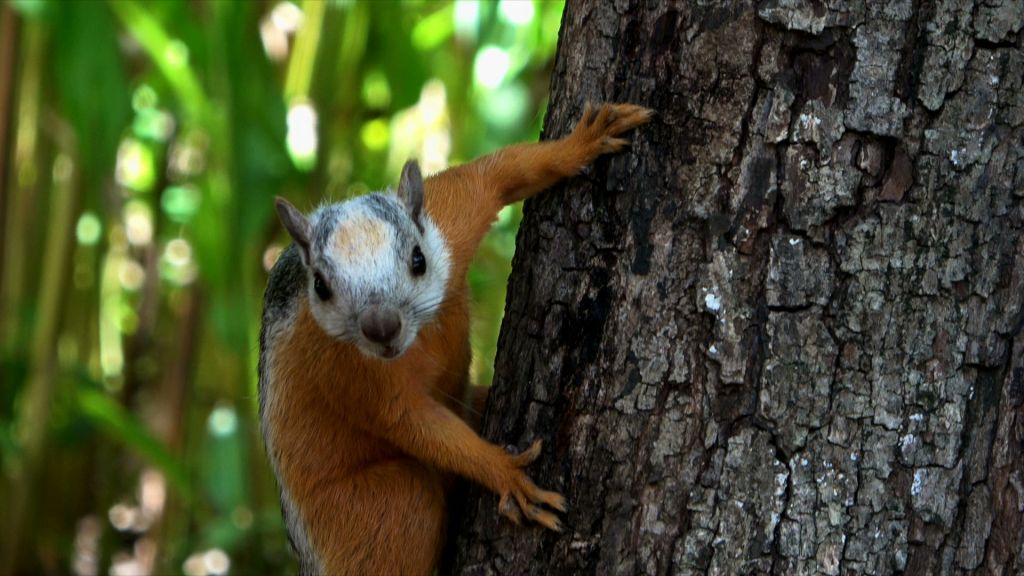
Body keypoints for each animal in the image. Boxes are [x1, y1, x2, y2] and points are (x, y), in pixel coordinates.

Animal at [258, 102, 652, 575]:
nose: (381, 328)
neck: (420, 336)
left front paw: (580, 144)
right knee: (408, 500)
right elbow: (408, 420)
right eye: (320, 286)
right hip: (368, 511)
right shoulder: (344, 368)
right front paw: (502, 471)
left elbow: (496, 174)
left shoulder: (450, 220)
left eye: (418, 259)